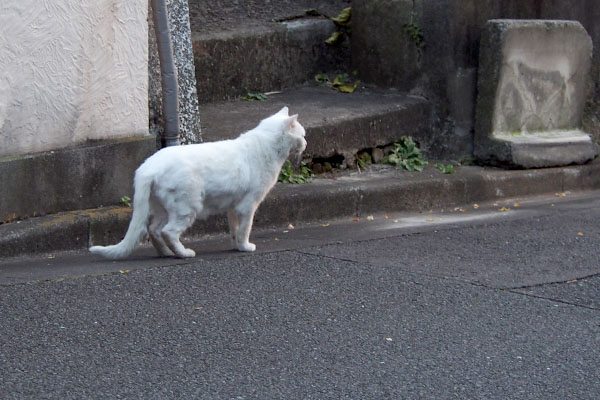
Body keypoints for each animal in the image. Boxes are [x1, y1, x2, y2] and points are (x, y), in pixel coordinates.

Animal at [88, 107, 310, 260]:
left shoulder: (233, 206)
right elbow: (245, 228)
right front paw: (246, 247)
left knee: (153, 229)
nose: (307, 144)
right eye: (303, 136)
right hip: (187, 206)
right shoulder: (248, 205)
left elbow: (235, 229)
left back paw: (166, 253)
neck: (268, 147)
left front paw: (236, 246)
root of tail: (148, 166)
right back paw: (183, 253)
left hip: (162, 208)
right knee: (168, 231)